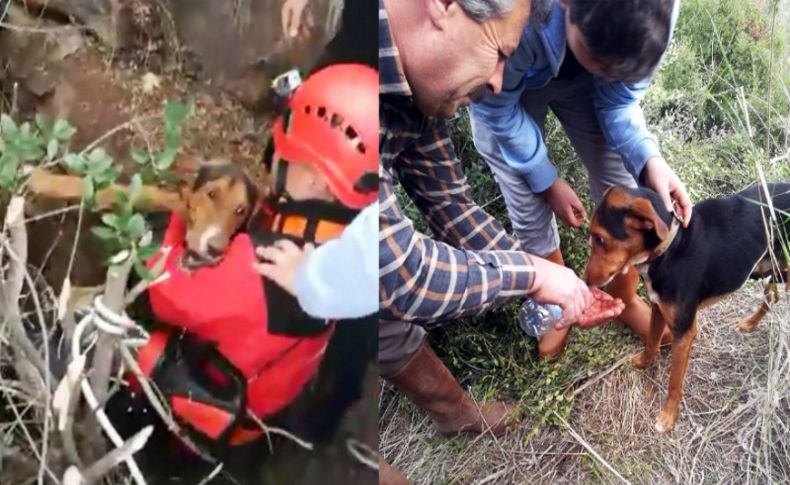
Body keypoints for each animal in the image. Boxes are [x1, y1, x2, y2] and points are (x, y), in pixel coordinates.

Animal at [584, 182, 788, 432]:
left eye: (600, 239)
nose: (585, 281)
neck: (671, 248)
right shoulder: (658, 308)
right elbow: (651, 341)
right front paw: (643, 362)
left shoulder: (683, 332)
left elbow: (674, 381)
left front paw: (668, 416)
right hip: (769, 269)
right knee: (773, 296)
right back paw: (750, 323)